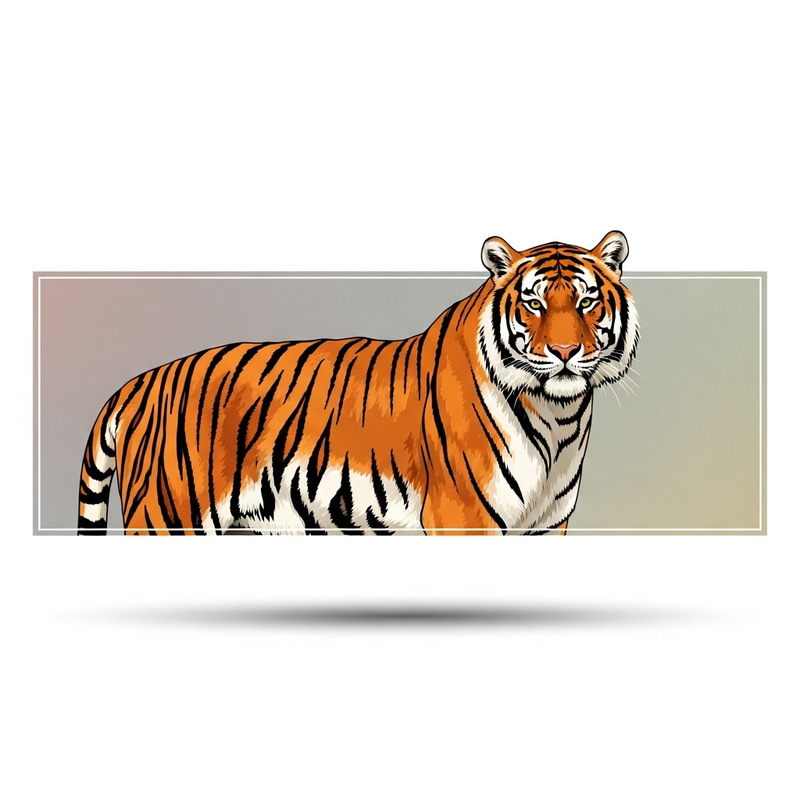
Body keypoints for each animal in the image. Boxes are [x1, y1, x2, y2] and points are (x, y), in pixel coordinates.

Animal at [77, 231, 639, 535]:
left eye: (587, 302)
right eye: (534, 303)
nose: (564, 353)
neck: (557, 418)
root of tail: (138, 383)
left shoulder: (547, 524)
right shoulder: (462, 518)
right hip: (166, 518)